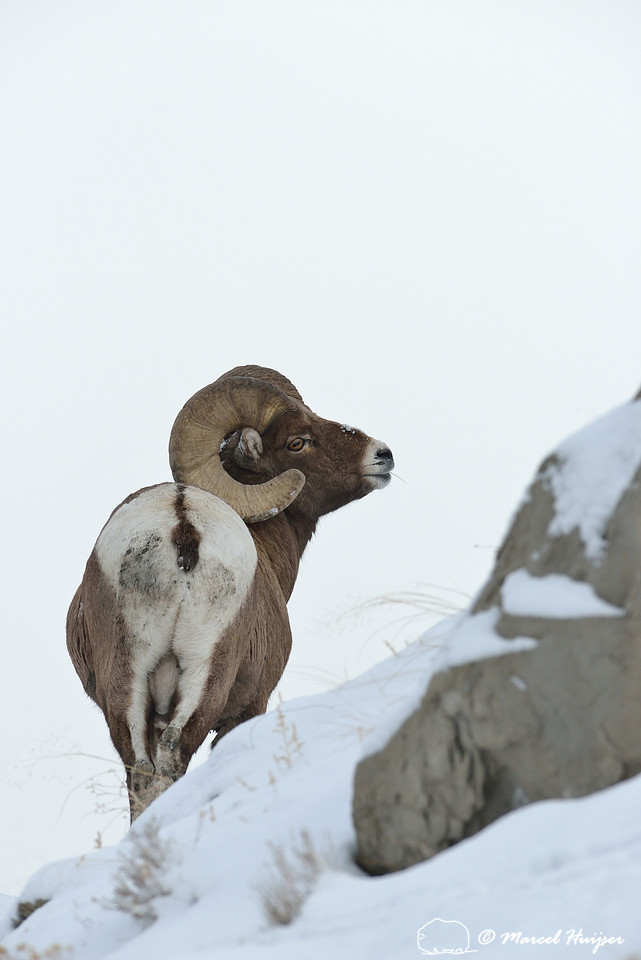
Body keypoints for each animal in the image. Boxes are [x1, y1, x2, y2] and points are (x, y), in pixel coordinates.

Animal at [67, 365, 394, 819]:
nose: (383, 455)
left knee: (143, 771)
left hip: (126, 682)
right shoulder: (248, 707)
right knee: (172, 759)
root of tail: (182, 523)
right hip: (207, 675)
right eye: (297, 442)